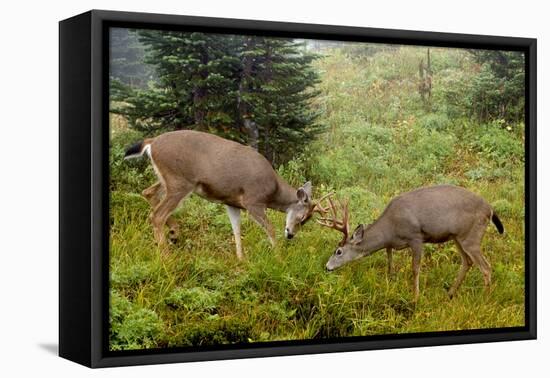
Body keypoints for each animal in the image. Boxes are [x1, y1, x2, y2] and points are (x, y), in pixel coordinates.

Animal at [125, 128, 330, 258]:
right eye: (302, 218)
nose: (291, 234)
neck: (273, 190)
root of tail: (152, 142)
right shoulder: (253, 201)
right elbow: (270, 229)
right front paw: (278, 257)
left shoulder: (231, 203)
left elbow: (236, 230)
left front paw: (241, 259)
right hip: (180, 182)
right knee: (157, 215)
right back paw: (167, 256)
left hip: (168, 180)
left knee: (148, 192)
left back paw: (174, 233)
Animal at [320, 186, 504, 302]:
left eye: (338, 251)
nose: (327, 267)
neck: (390, 229)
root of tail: (490, 209)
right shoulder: (391, 244)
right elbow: (389, 261)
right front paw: (390, 281)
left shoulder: (416, 237)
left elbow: (415, 269)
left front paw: (415, 297)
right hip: (458, 237)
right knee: (467, 262)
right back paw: (450, 293)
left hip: (471, 236)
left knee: (486, 267)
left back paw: (484, 299)